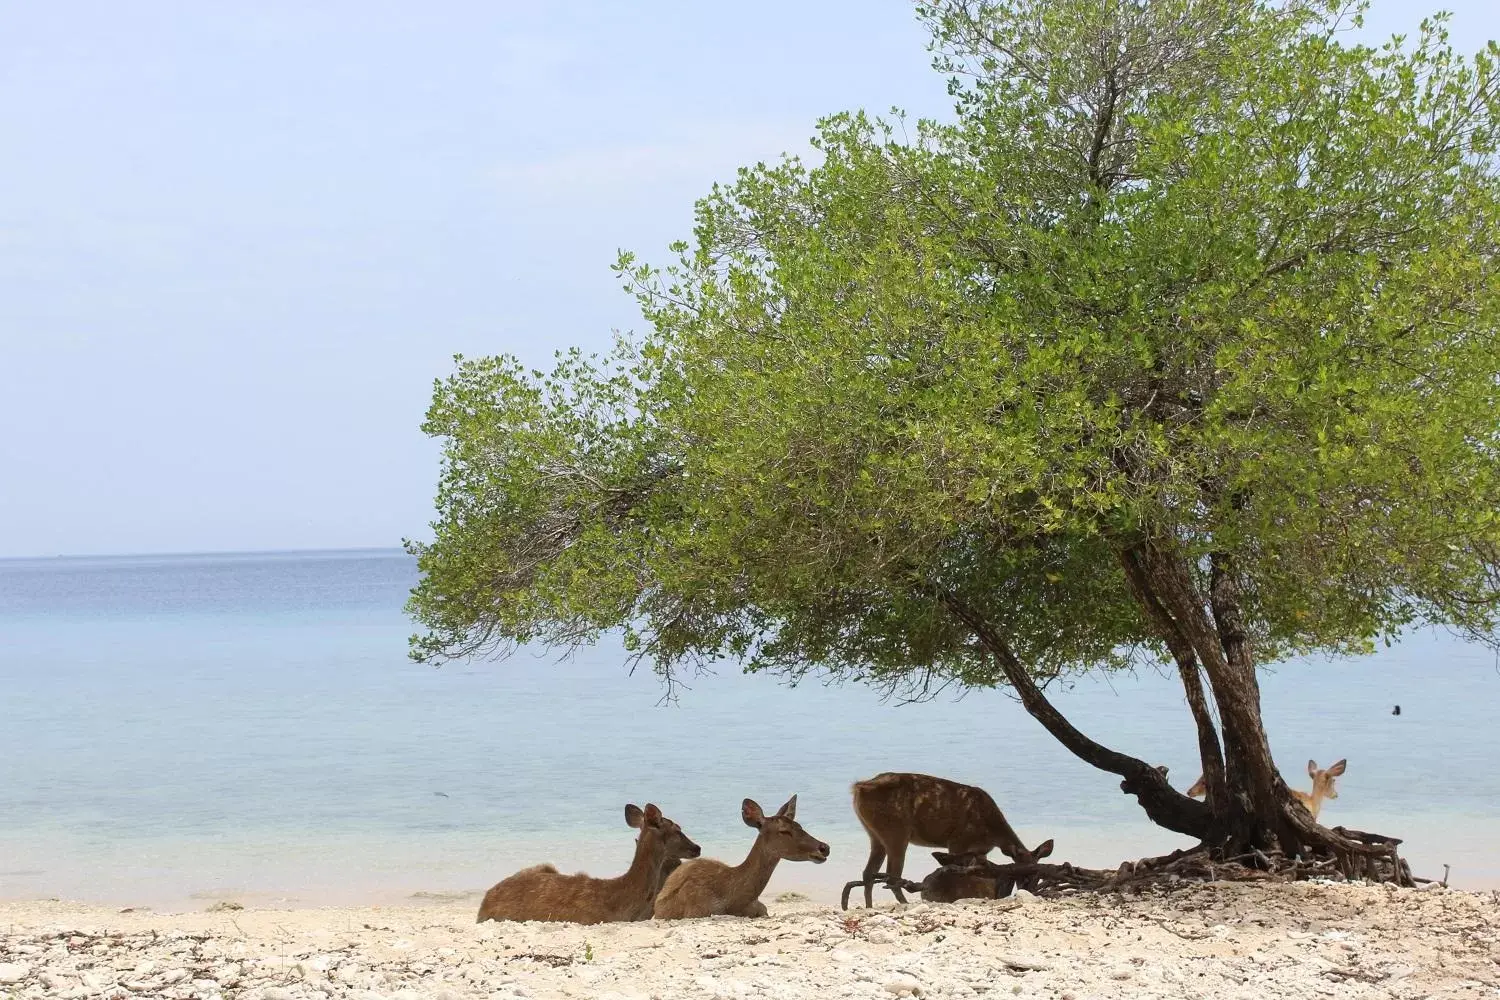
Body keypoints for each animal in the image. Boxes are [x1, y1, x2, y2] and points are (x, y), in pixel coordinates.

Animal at [852, 773, 1050, 911]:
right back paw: (905, 904)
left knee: (868, 873)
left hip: (874, 834)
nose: (1030, 892)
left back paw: (868, 907)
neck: (990, 830)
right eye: (1022, 875)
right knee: (891, 875)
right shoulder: (958, 840)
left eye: (1038, 874)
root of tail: (858, 788)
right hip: (895, 831)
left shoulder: (980, 851)